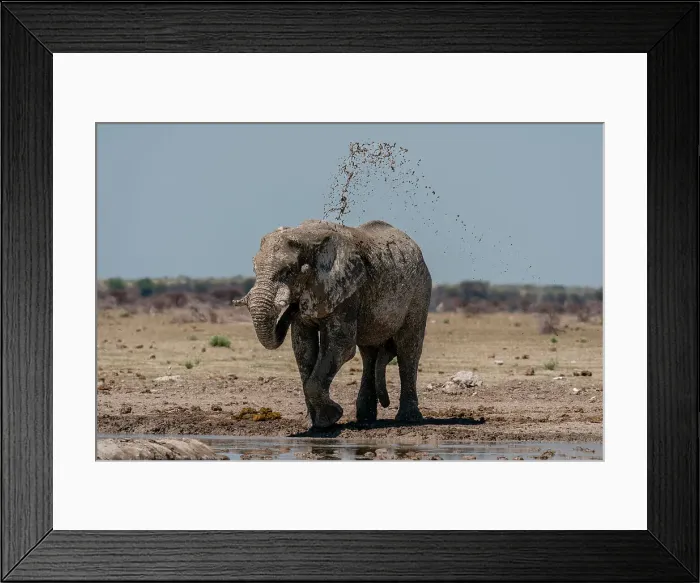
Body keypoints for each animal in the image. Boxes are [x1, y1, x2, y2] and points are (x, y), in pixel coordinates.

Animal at [232, 219, 432, 429]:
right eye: (254, 269)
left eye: (288, 271)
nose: (291, 307)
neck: (306, 236)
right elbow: (303, 347)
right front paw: (314, 424)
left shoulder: (348, 291)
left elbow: (340, 346)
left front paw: (331, 418)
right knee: (369, 353)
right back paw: (366, 419)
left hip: (420, 291)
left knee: (408, 349)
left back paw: (408, 419)